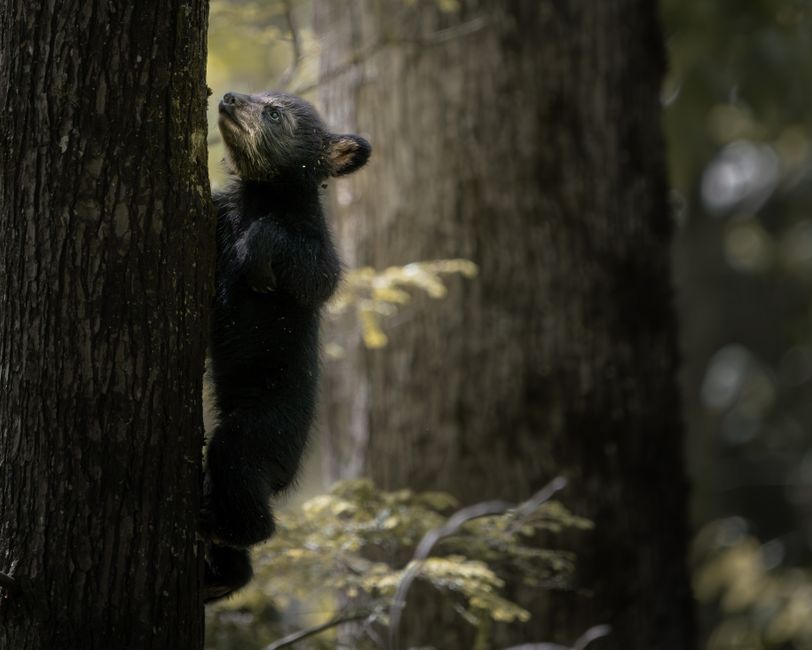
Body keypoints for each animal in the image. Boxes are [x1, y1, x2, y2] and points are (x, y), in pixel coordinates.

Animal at [200, 90, 371, 602]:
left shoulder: (314, 247)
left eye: (275, 112)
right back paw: (218, 577)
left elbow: (316, 274)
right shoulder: (225, 210)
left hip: (263, 430)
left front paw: (252, 260)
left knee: (239, 472)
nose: (229, 96)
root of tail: (287, 475)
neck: (261, 197)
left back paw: (220, 529)